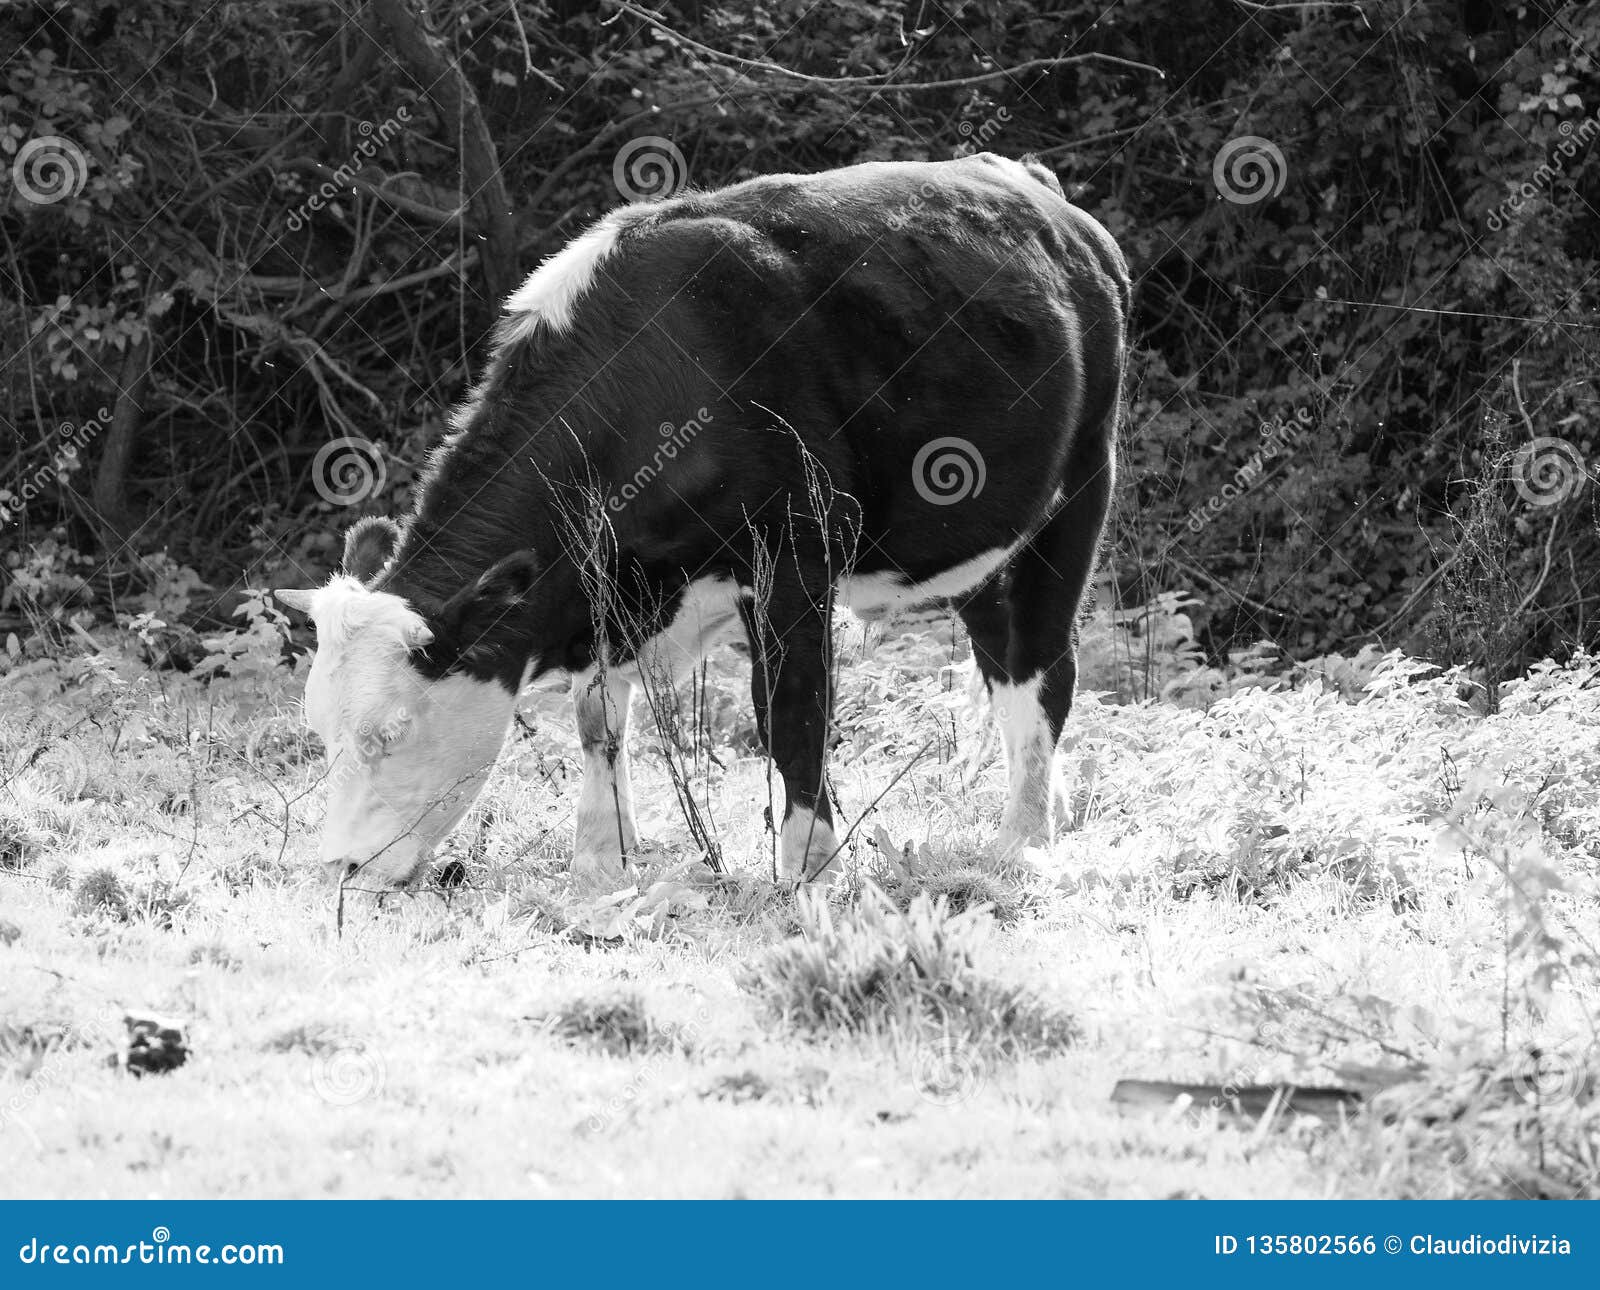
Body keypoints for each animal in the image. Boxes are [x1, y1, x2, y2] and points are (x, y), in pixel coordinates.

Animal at [272, 151, 1126, 896]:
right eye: (319, 731)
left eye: (391, 731)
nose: (339, 867)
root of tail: (1036, 188)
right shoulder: (614, 593)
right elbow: (596, 719)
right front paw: (602, 862)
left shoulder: (795, 558)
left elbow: (790, 711)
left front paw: (808, 871)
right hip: (981, 541)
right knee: (1004, 662)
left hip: (1081, 490)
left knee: (1046, 665)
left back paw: (1025, 843)